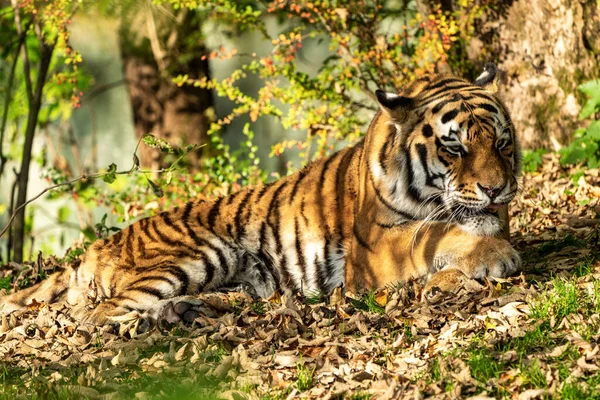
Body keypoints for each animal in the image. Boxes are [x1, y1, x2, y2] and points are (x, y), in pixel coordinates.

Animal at [0, 63, 520, 324]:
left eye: (500, 142)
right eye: (454, 147)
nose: (496, 188)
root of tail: (92, 249)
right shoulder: (373, 247)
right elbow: (433, 235)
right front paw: (494, 257)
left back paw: (185, 312)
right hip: (198, 253)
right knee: (98, 316)